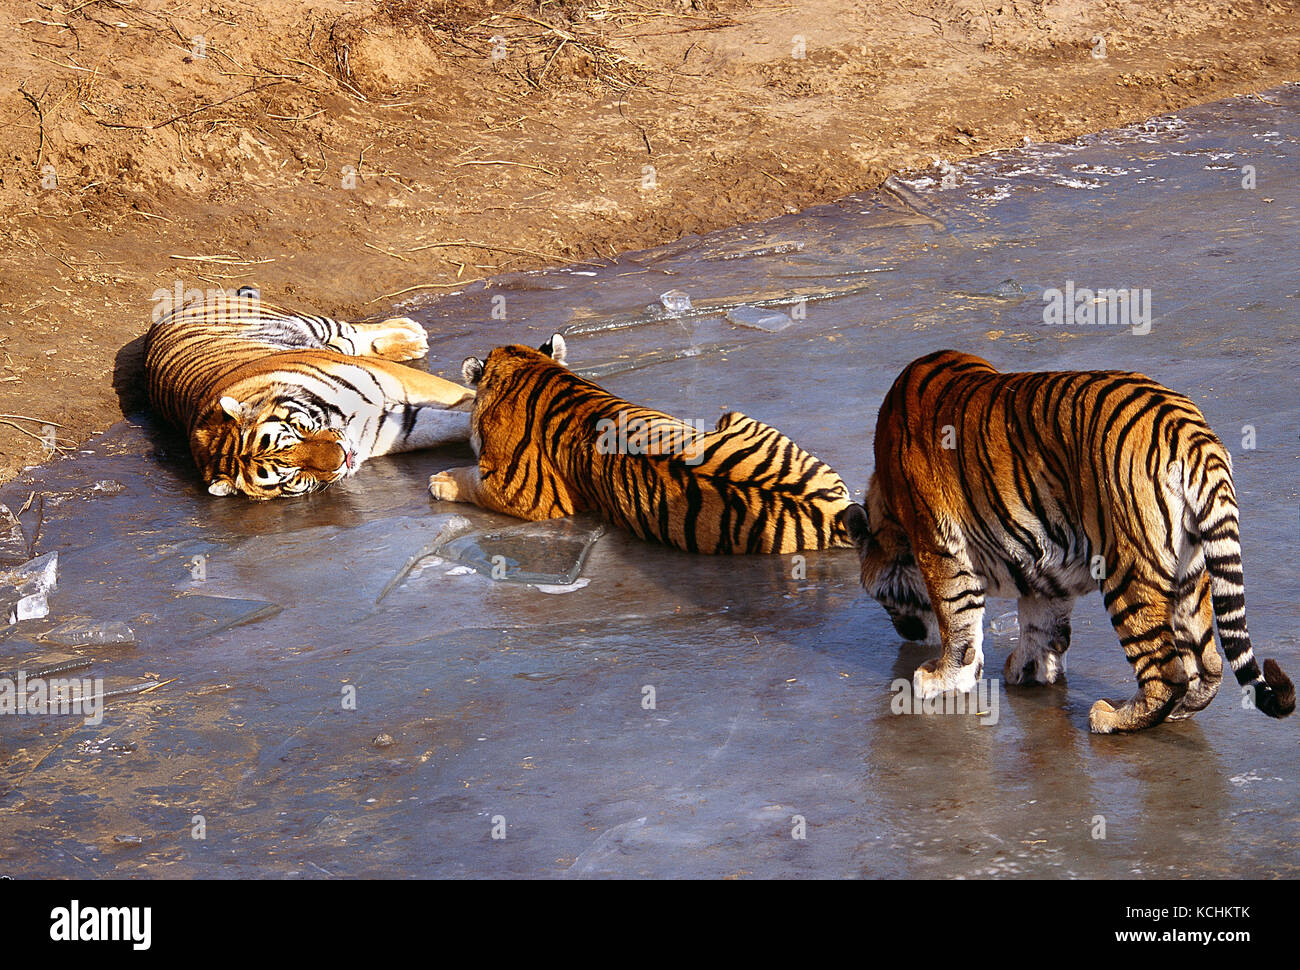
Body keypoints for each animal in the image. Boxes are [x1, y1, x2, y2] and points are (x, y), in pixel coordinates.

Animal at [147, 288, 473, 499]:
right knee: (348, 340)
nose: (345, 457)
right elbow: (446, 425)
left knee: (350, 329)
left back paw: (409, 332)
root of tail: (170, 310)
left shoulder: (397, 379)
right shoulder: (392, 429)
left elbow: (461, 399)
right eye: (293, 475)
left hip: (307, 322)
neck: (345, 418)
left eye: (297, 430)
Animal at [837, 348, 1294, 733]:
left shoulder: (938, 546)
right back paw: (1180, 710)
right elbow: (1043, 621)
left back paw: (1111, 718)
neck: (888, 506)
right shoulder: (1044, 561)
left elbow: (957, 618)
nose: (907, 635)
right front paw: (1030, 669)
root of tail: (1192, 434)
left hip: (1126, 569)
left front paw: (941, 678)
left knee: (1165, 672)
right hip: (1191, 568)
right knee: (1208, 661)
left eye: (882, 599)